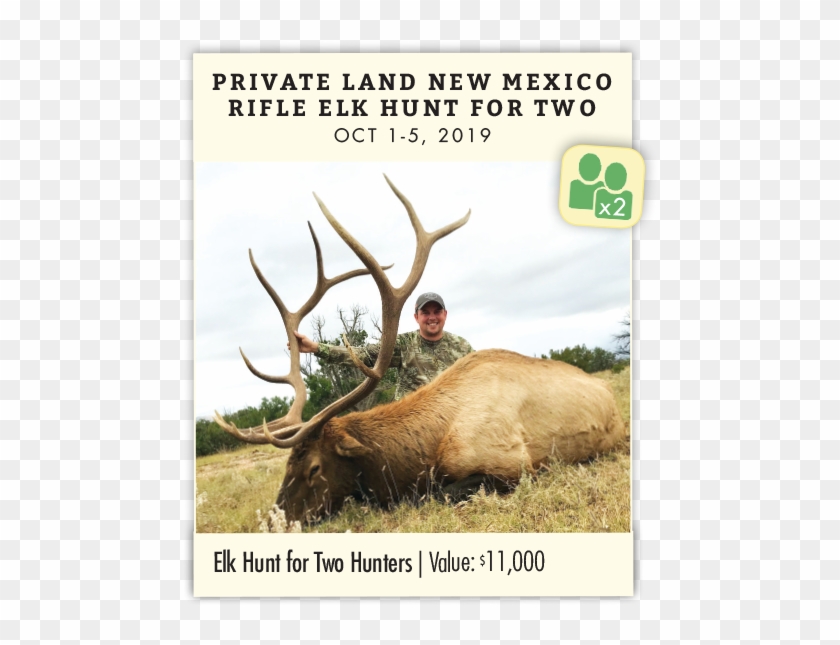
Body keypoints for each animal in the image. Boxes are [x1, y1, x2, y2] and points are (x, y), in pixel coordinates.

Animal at [213, 175, 626, 524]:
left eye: (314, 467)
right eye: (286, 465)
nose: (272, 522)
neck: (430, 447)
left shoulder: (513, 466)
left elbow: (429, 495)